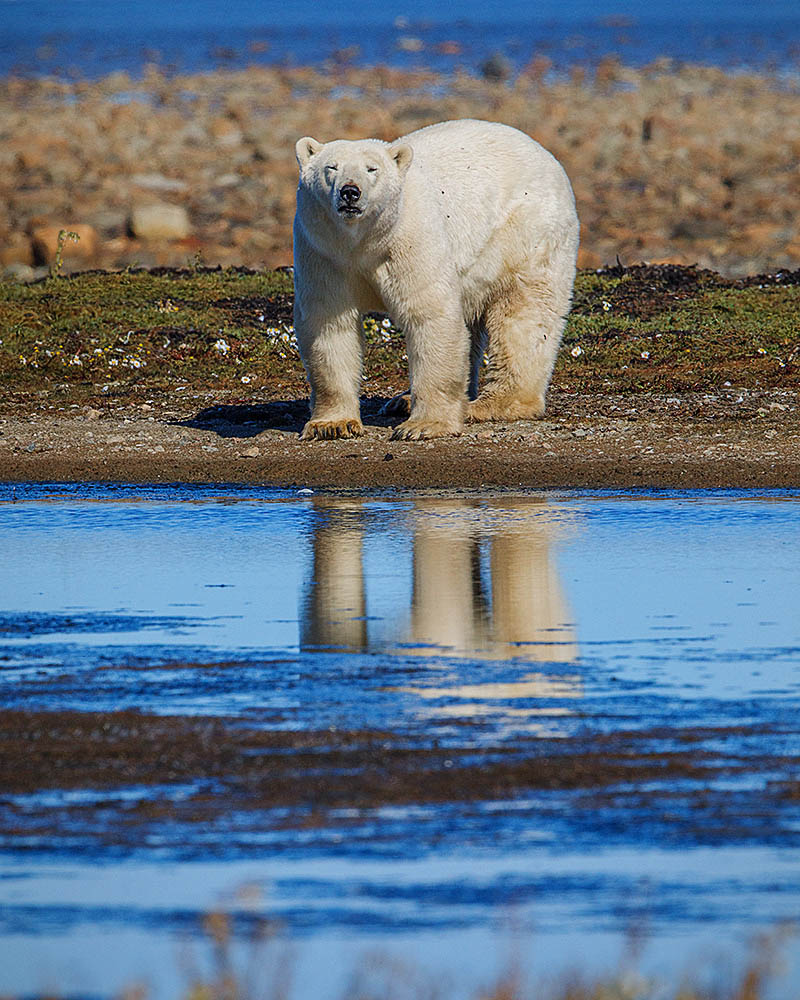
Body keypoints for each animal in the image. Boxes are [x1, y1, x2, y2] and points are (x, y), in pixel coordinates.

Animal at [290, 119, 580, 440]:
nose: (350, 192)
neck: (363, 243)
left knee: (523, 317)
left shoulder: (411, 240)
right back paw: (404, 399)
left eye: (371, 169)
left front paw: (423, 425)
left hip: (524, 235)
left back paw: (489, 404)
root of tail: (547, 156)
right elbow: (330, 325)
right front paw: (331, 424)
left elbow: (430, 316)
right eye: (331, 167)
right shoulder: (323, 252)